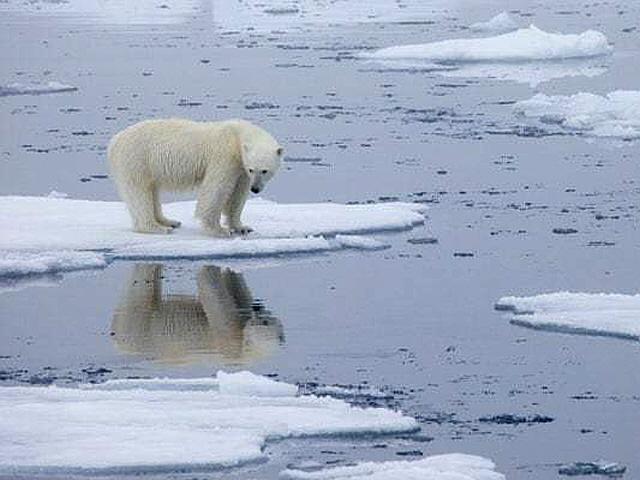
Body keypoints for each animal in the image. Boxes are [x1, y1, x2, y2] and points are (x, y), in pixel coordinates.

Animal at [107, 117, 282, 235]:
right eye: (253, 169)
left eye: (264, 171)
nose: (256, 189)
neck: (237, 135)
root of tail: (114, 141)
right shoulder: (224, 157)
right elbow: (216, 189)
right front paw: (219, 230)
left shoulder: (241, 168)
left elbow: (238, 195)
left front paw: (242, 227)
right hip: (137, 159)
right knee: (139, 193)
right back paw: (157, 227)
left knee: (152, 191)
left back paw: (169, 221)